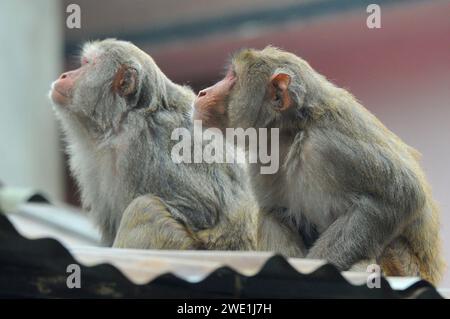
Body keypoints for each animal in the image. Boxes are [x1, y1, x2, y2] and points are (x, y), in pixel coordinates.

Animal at [48, 39, 264, 250]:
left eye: (86, 64)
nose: (65, 75)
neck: (123, 122)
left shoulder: (150, 144)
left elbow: (204, 210)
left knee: (145, 209)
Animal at [194, 46, 446, 284]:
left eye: (233, 77)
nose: (203, 92)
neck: (293, 129)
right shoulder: (263, 158)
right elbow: (277, 212)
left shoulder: (329, 145)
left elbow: (400, 196)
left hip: (404, 266)